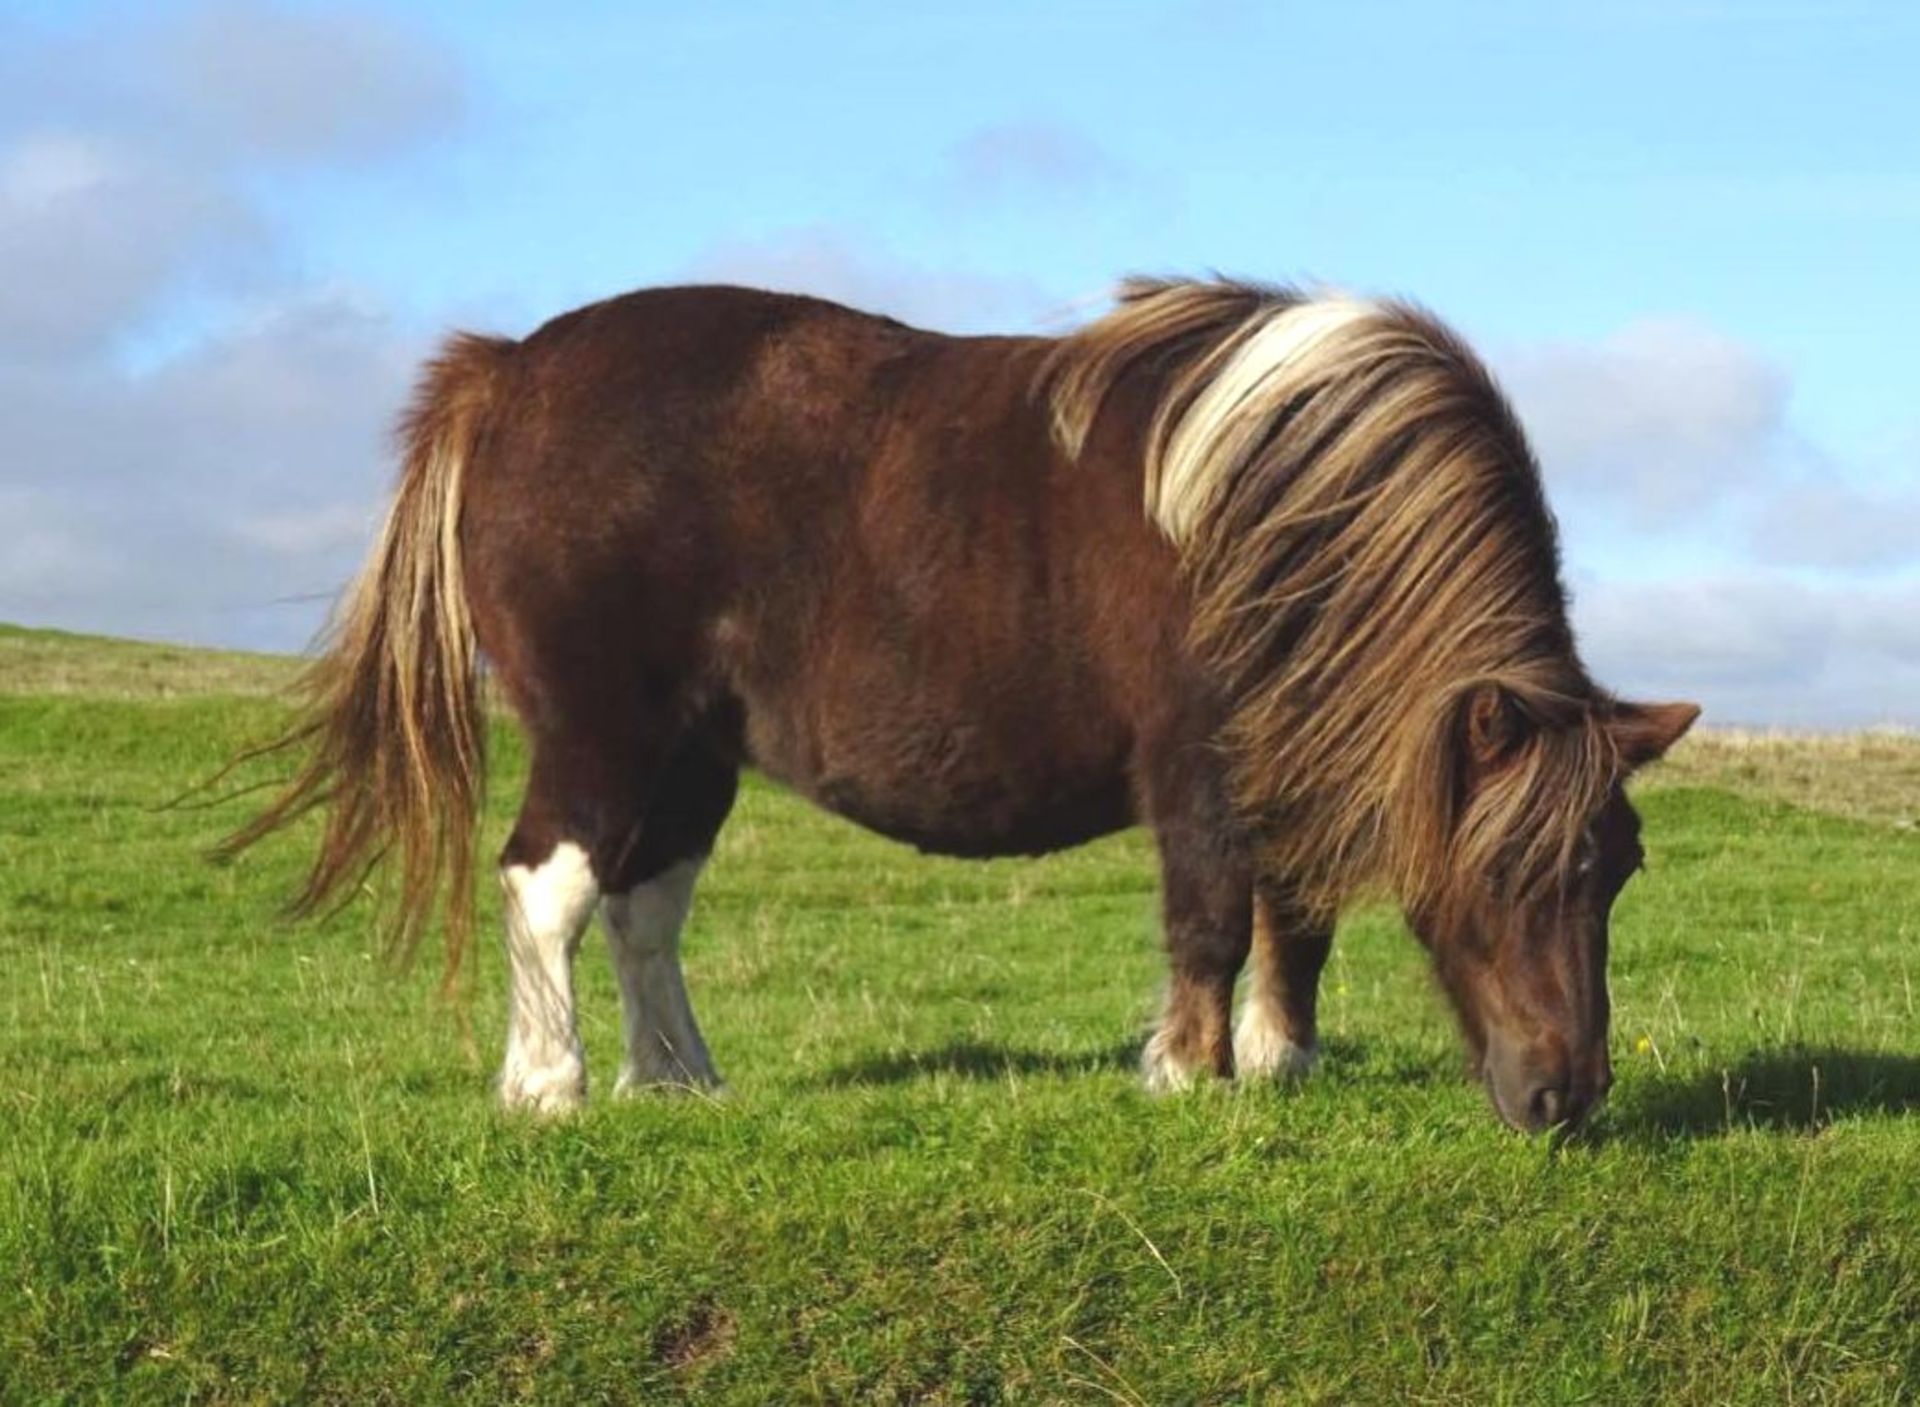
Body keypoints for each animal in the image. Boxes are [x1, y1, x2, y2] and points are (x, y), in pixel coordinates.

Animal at [224, 274, 1697, 1128]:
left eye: (1617, 867)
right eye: (1508, 869)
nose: (1567, 1097)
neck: (1283, 498)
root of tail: (509, 367)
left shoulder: (1298, 747)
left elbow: (1299, 919)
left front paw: (1281, 1060)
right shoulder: (1201, 765)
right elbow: (1216, 917)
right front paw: (1192, 1075)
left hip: (692, 757)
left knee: (645, 911)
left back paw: (681, 1080)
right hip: (604, 734)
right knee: (549, 886)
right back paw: (551, 1085)